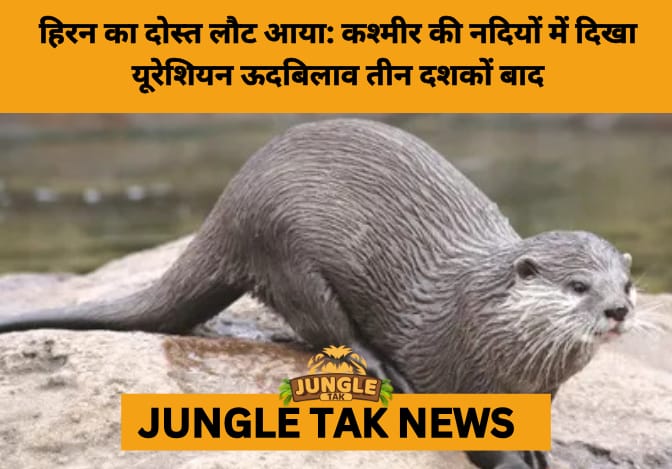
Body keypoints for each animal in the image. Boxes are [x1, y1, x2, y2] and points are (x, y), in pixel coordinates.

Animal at [0, 119, 636, 469]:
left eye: (625, 282)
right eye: (579, 285)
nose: (619, 309)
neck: (483, 325)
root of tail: (228, 207)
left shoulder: (540, 392)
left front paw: (544, 455)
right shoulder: (451, 372)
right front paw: (511, 463)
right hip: (286, 252)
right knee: (324, 328)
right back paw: (378, 369)